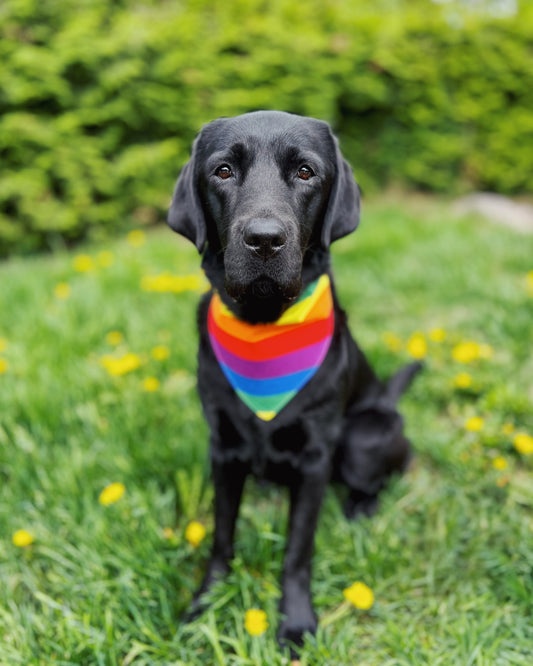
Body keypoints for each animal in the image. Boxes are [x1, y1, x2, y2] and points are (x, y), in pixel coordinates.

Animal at [168, 110, 418, 648]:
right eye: (222, 171)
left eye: (306, 172)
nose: (264, 239)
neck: (264, 328)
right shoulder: (223, 447)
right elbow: (222, 534)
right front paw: (205, 602)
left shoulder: (315, 457)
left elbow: (298, 548)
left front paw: (297, 620)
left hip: (366, 436)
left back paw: (360, 509)